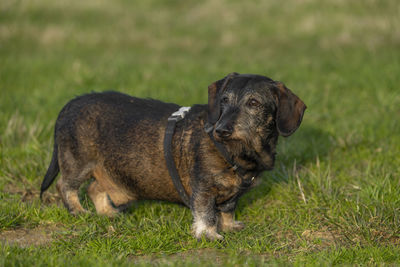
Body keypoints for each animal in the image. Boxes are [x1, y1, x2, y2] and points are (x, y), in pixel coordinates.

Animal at [40, 73, 306, 241]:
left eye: (253, 103)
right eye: (224, 100)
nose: (221, 130)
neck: (236, 153)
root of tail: (70, 104)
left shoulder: (231, 196)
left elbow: (228, 209)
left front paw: (230, 226)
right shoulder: (203, 189)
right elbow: (206, 214)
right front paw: (209, 234)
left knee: (94, 188)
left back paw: (108, 213)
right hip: (77, 163)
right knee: (66, 185)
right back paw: (78, 212)